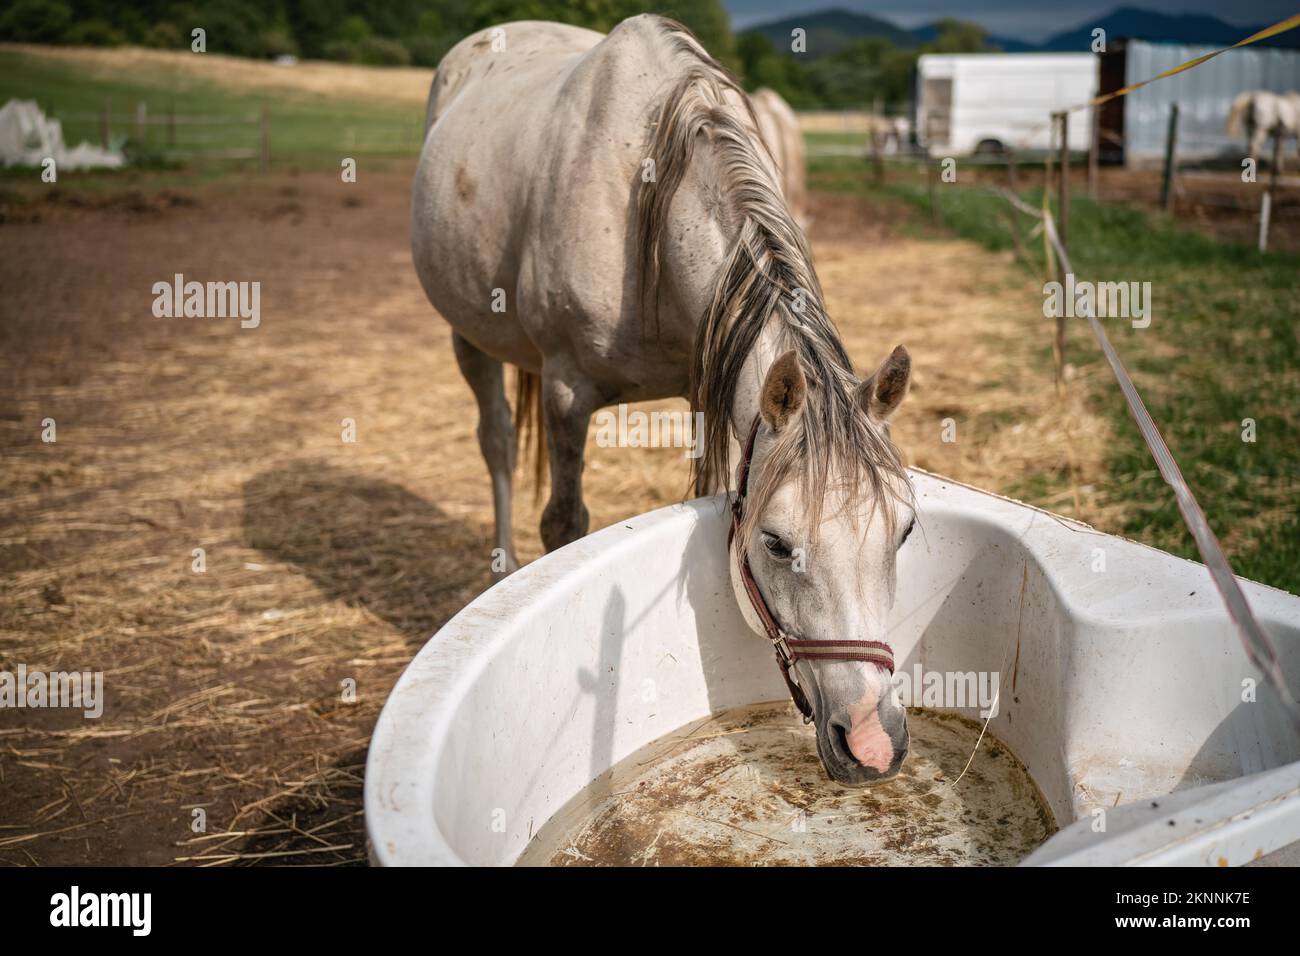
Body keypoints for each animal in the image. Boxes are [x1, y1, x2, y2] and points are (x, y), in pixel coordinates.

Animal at [413, 16, 915, 785]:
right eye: (777, 543)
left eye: (906, 530)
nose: (872, 744)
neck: (644, 195)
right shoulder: (565, 392)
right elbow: (564, 524)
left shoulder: (708, 396)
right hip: (467, 335)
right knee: (496, 443)